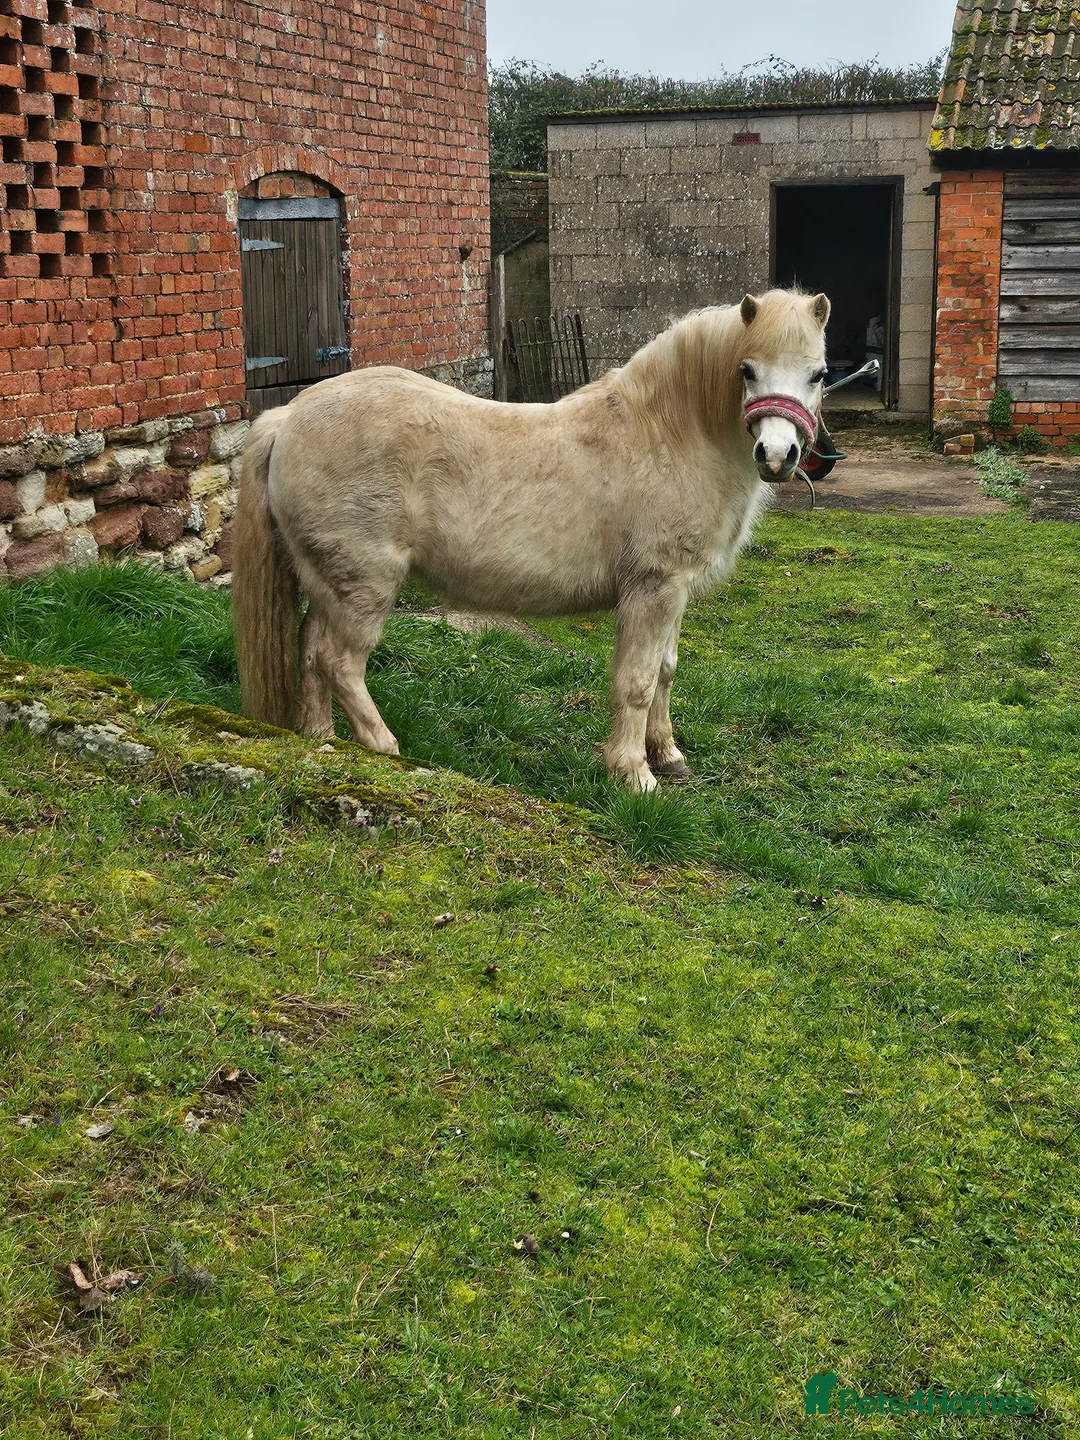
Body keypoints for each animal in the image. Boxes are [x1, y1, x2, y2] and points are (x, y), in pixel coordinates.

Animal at [232, 287, 830, 792]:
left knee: (310, 651)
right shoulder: (654, 589)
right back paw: (385, 748)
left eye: (819, 374)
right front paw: (635, 774)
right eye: (746, 369)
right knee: (339, 662)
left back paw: (322, 741)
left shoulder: (674, 592)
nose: (778, 456)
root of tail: (289, 416)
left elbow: (664, 670)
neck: (666, 434)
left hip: (328, 579)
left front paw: (668, 755)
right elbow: (637, 681)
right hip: (366, 584)